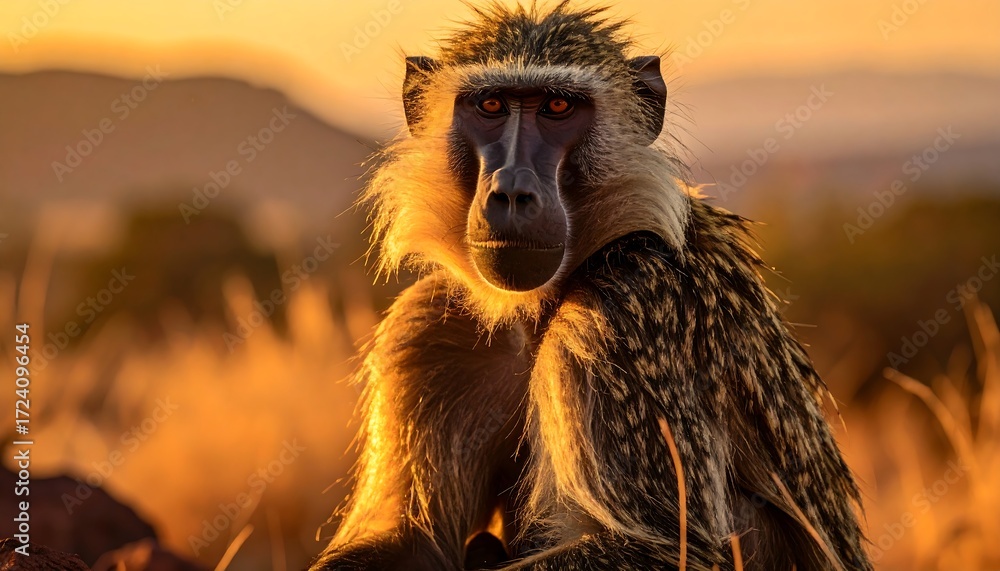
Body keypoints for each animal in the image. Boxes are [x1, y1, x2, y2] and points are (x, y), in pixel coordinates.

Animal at [311, 3, 873, 570]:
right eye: (490, 105)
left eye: (557, 106)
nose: (511, 191)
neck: (537, 310)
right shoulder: (430, 326)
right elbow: (412, 541)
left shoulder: (626, 309)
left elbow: (676, 549)